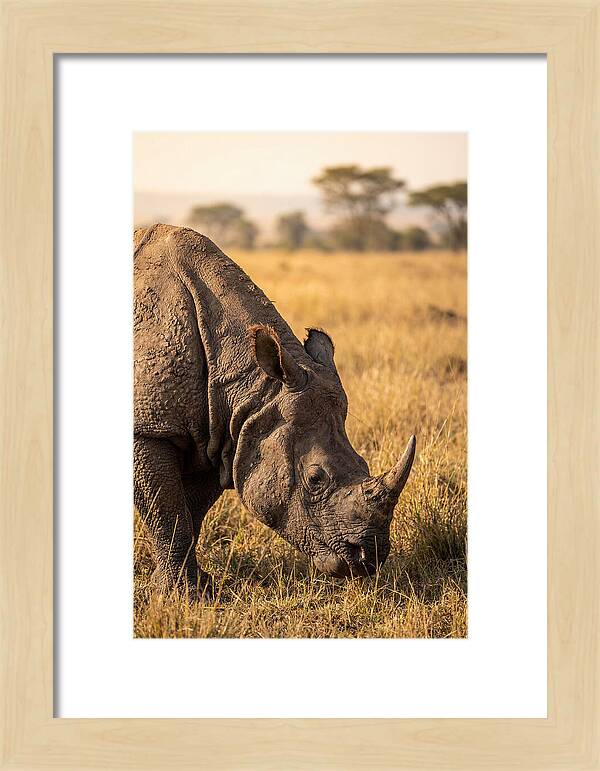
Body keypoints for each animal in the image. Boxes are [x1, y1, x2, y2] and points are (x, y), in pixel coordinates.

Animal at [134, 224, 416, 598]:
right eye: (315, 479)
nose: (368, 559)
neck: (252, 387)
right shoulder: (150, 429)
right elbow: (168, 513)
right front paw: (182, 597)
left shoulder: (221, 433)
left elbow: (189, 512)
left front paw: (194, 588)